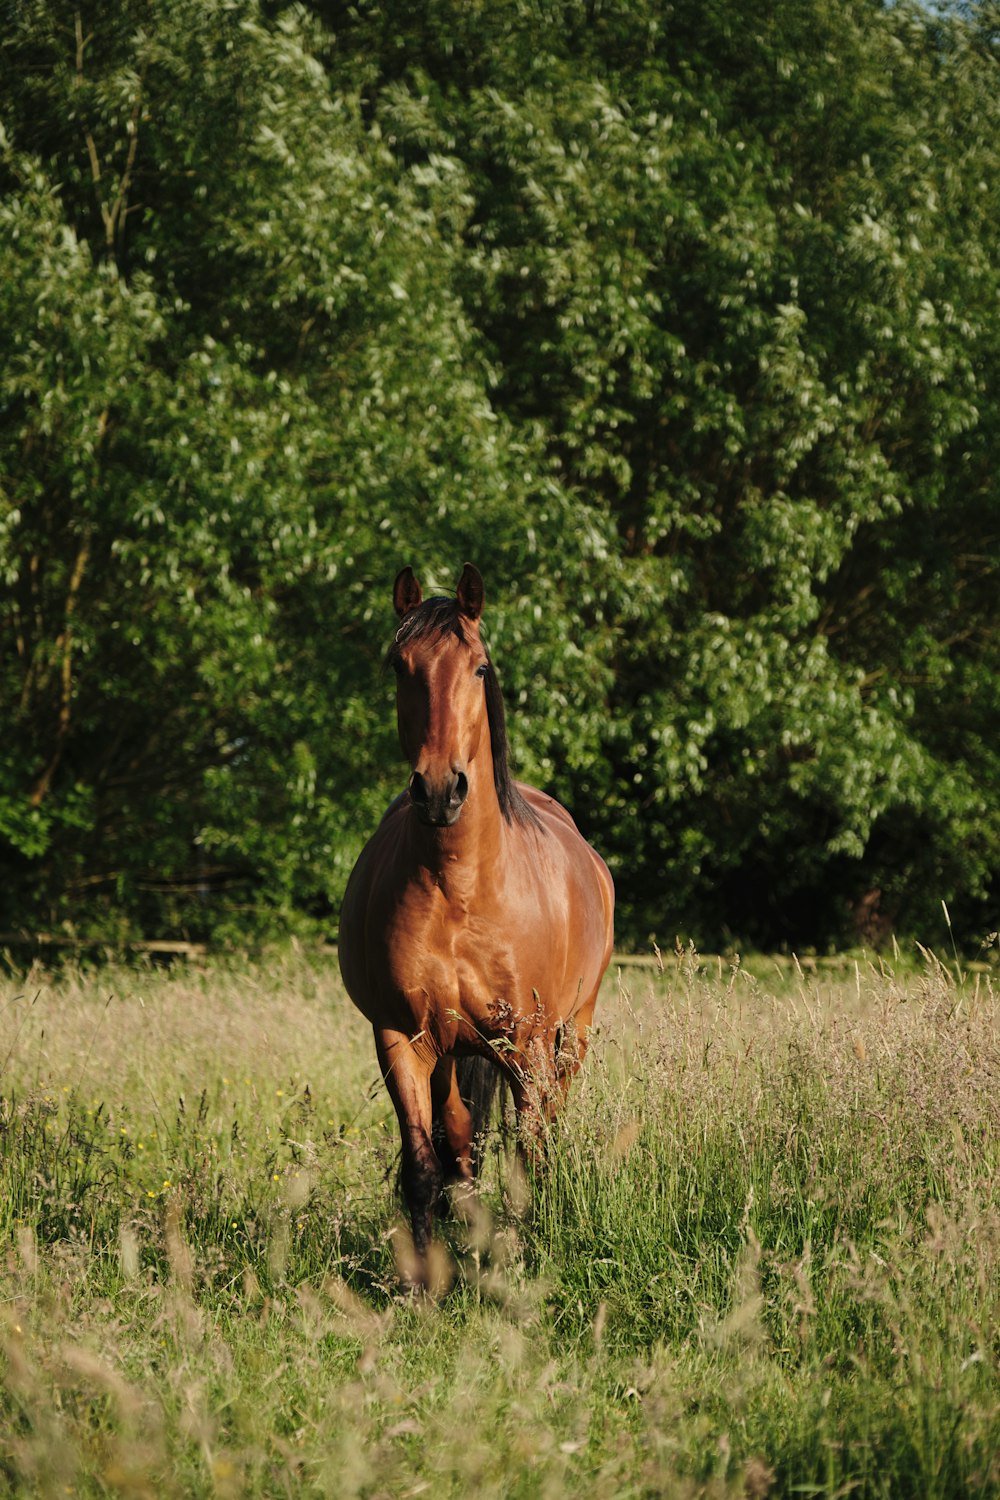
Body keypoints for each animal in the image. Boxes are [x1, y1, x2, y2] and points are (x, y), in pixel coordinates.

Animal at [340, 564, 614, 1278]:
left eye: (480, 667)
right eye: (400, 665)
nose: (441, 790)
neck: (459, 888)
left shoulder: (527, 1045)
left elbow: (528, 1153)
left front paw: (519, 1258)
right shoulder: (402, 1040)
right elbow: (425, 1166)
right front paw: (426, 1284)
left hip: (570, 1035)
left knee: (545, 1129)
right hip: (451, 1050)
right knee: (459, 1139)